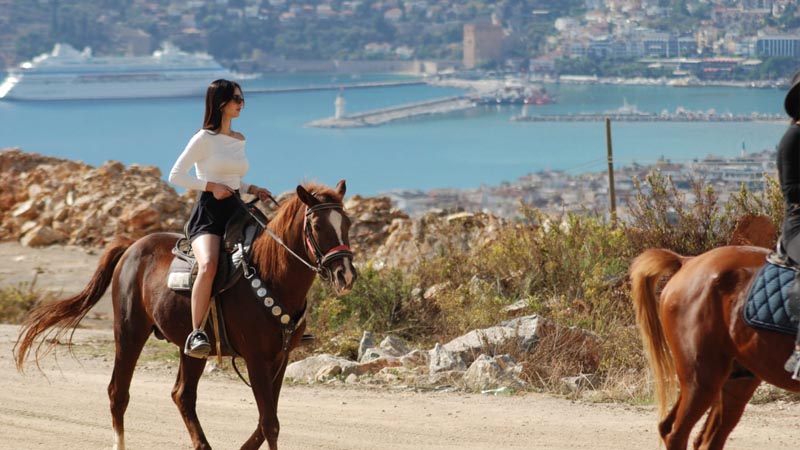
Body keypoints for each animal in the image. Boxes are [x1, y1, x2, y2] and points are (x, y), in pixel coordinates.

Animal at [14, 180, 358, 450]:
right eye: (316, 226)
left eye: (347, 224)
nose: (346, 275)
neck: (270, 275)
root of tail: (132, 246)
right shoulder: (257, 359)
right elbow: (270, 423)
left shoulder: (280, 359)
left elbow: (265, 422)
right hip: (129, 333)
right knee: (118, 392)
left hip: (190, 348)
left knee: (182, 395)